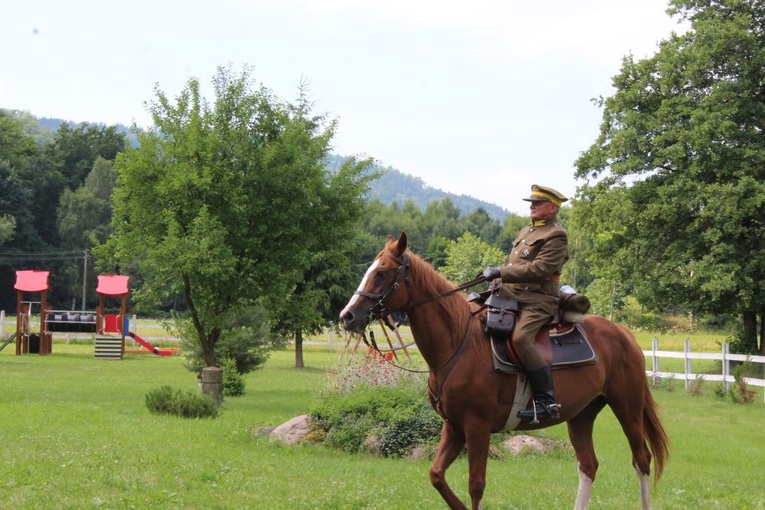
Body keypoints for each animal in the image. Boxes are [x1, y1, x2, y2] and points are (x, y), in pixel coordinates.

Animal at [338, 233, 664, 508]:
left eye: (381, 273)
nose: (347, 315)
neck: (459, 342)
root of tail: (622, 333)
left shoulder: (477, 426)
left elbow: (476, 485)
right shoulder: (454, 426)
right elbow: (436, 475)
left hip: (627, 407)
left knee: (642, 460)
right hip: (582, 414)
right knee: (588, 465)